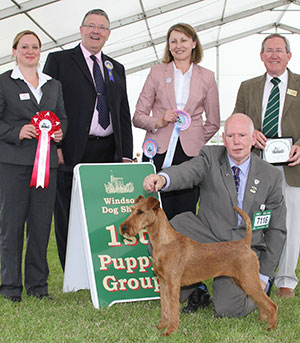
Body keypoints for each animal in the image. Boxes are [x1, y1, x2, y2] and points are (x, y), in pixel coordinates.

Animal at [119, 196, 276, 336]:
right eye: (132, 210)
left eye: (140, 212)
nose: (123, 227)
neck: (164, 242)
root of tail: (245, 243)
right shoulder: (163, 282)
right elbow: (165, 307)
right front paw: (161, 326)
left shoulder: (173, 284)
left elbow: (173, 308)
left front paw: (170, 331)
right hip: (242, 281)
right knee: (261, 301)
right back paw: (262, 320)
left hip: (248, 280)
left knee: (271, 304)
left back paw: (271, 328)